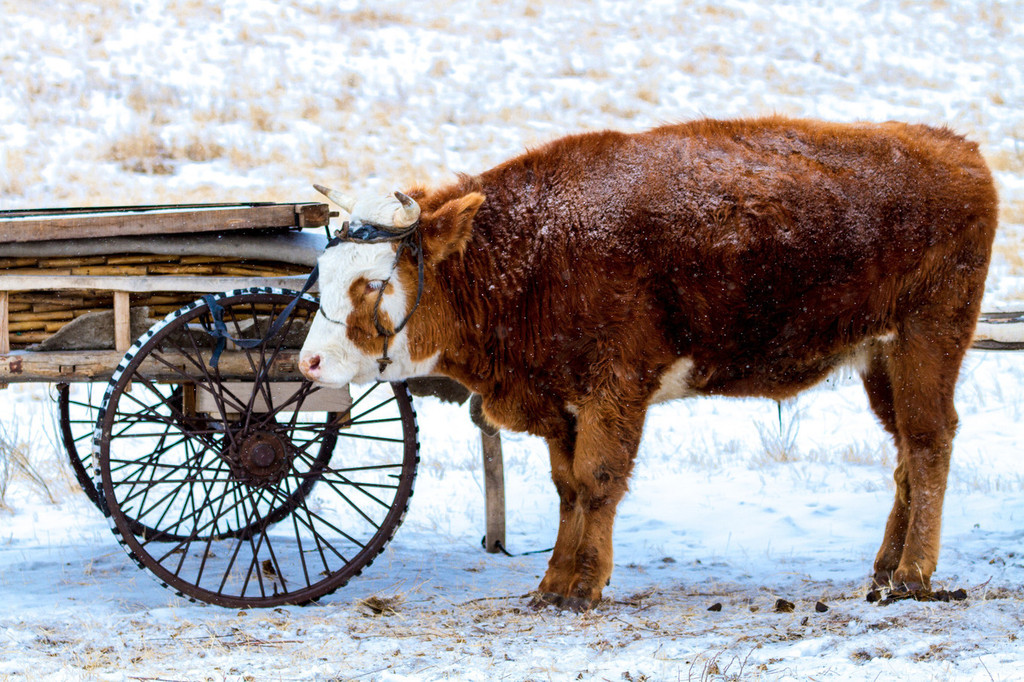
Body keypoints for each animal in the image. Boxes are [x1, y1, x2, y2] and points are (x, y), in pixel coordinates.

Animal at [299, 116, 999, 610]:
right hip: (879, 358)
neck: (539, 250)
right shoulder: (562, 401)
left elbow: (599, 479)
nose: (307, 361)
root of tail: (955, 148)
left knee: (930, 444)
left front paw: (583, 585)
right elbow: (567, 487)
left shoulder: (616, 388)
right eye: (323, 272)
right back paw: (883, 570)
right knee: (906, 454)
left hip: (926, 340)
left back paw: (912, 574)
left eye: (370, 283)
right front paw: (553, 582)